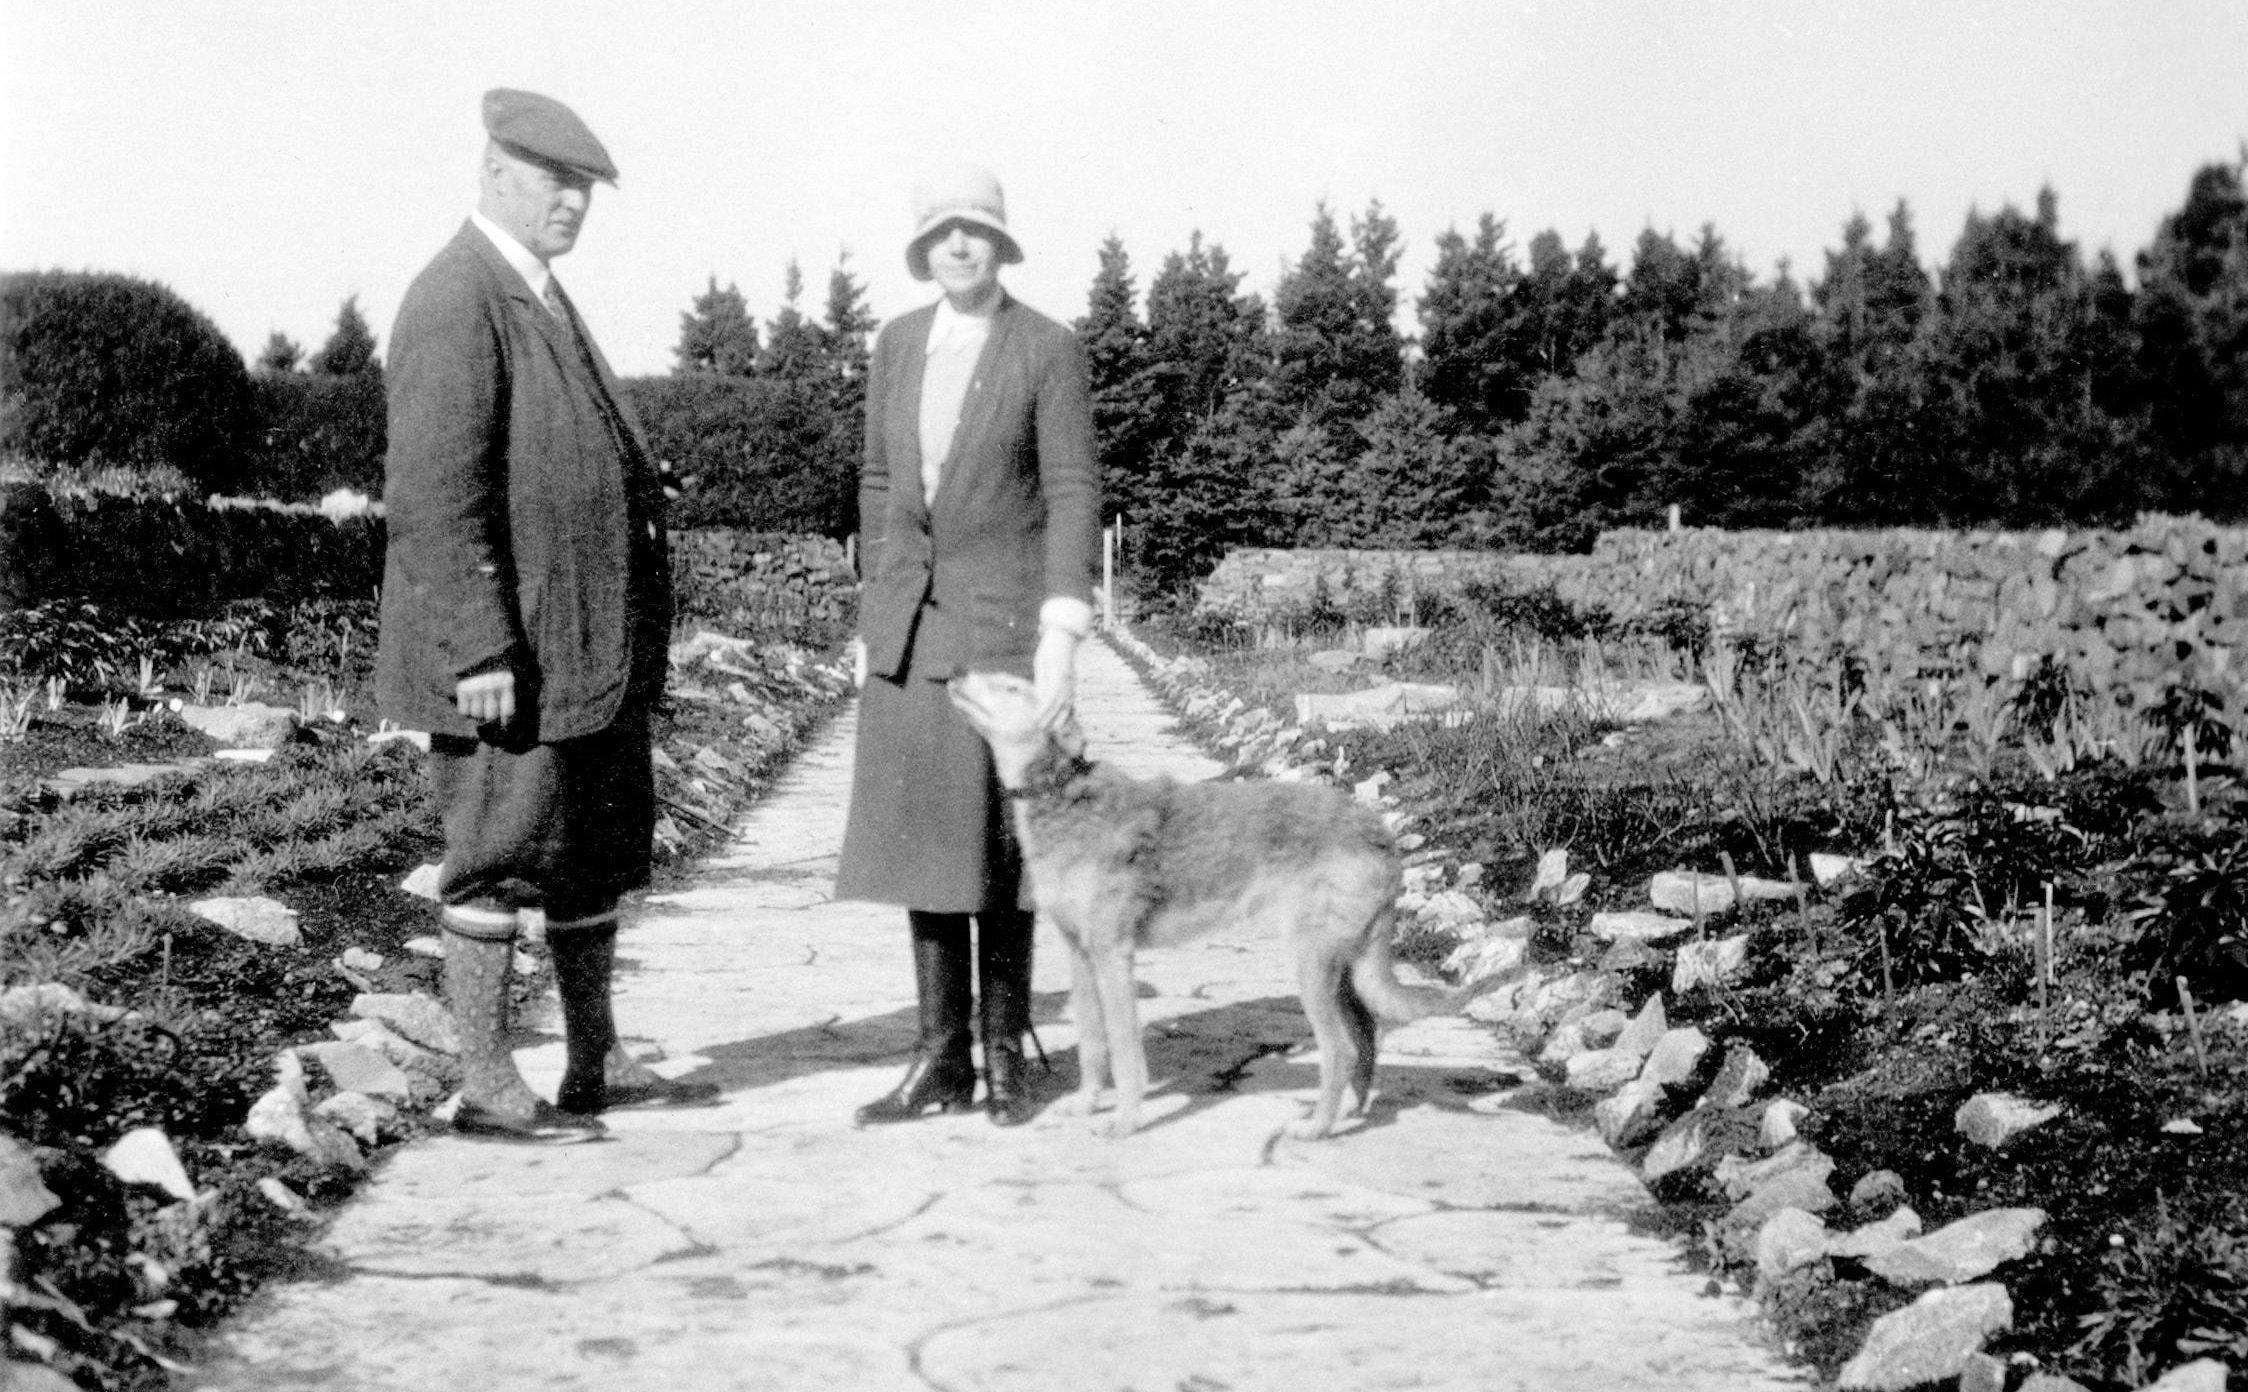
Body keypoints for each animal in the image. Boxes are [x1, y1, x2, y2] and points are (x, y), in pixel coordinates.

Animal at [948, 670, 1474, 1137]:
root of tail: (1380, 832)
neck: (1060, 795)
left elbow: (1124, 1051)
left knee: (1341, 1050)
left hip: (1313, 966)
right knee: (1364, 1034)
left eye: (1011, 686)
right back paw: (1348, 1115)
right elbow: (1093, 1047)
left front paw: (1124, 1123)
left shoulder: (1113, 956)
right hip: (1341, 966)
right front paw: (1085, 1105)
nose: (953, 672)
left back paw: (1316, 1128)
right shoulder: (1081, 954)